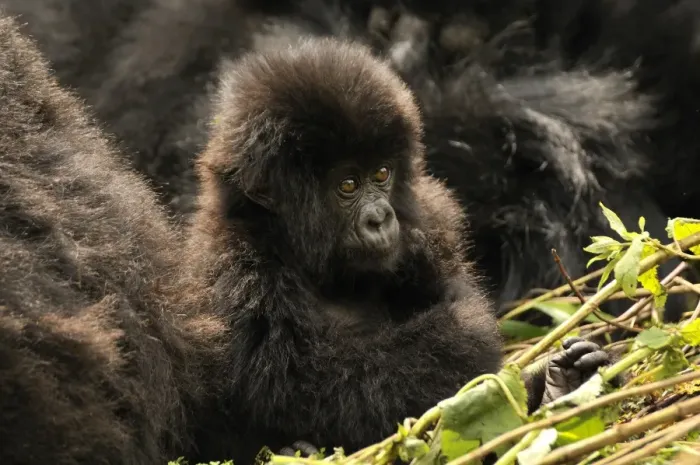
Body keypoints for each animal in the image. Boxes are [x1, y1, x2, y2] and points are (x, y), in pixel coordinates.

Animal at [179, 36, 613, 464]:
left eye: (382, 174)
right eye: (348, 185)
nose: (381, 218)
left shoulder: (434, 219)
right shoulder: (237, 274)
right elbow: (301, 389)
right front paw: (464, 334)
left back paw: (563, 388)